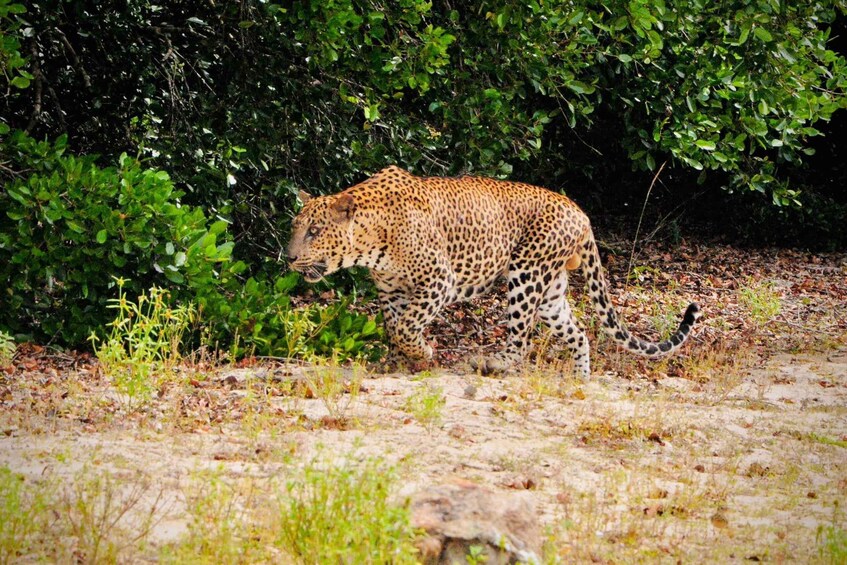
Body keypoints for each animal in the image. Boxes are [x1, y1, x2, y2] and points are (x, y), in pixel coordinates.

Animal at [286, 165, 700, 378]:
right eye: (295, 226)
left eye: (315, 231)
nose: (288, 258)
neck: (371, 240)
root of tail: (580, 213)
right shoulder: (391, 290)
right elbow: (394, 326)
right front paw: (405, 358)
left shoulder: (438, 280)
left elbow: (406, 326)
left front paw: (424, 351)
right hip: (550, 292)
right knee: (578, 331)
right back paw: (580, 380)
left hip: (526, 274)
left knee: (521, 340)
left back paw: (492, 363)